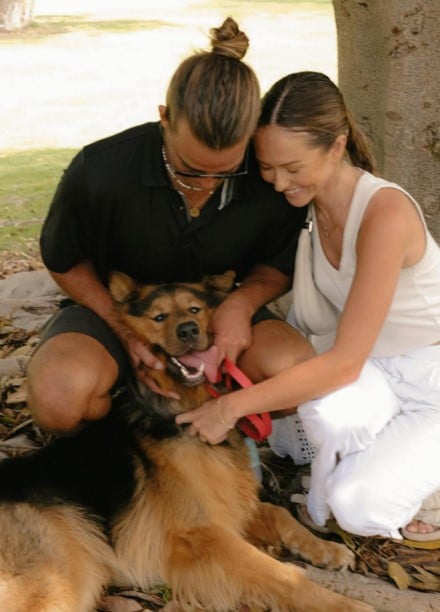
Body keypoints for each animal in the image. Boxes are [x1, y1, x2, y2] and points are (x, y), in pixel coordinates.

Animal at [0, 274, 372, 612]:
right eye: (159, 317)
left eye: (195, 309)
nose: (189, 330)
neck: (177, 410)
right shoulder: (201, 534)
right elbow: (284, 575)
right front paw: (345, 605)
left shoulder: (227, 504)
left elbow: (279, 513)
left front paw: (326, 550)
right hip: (60, 577)